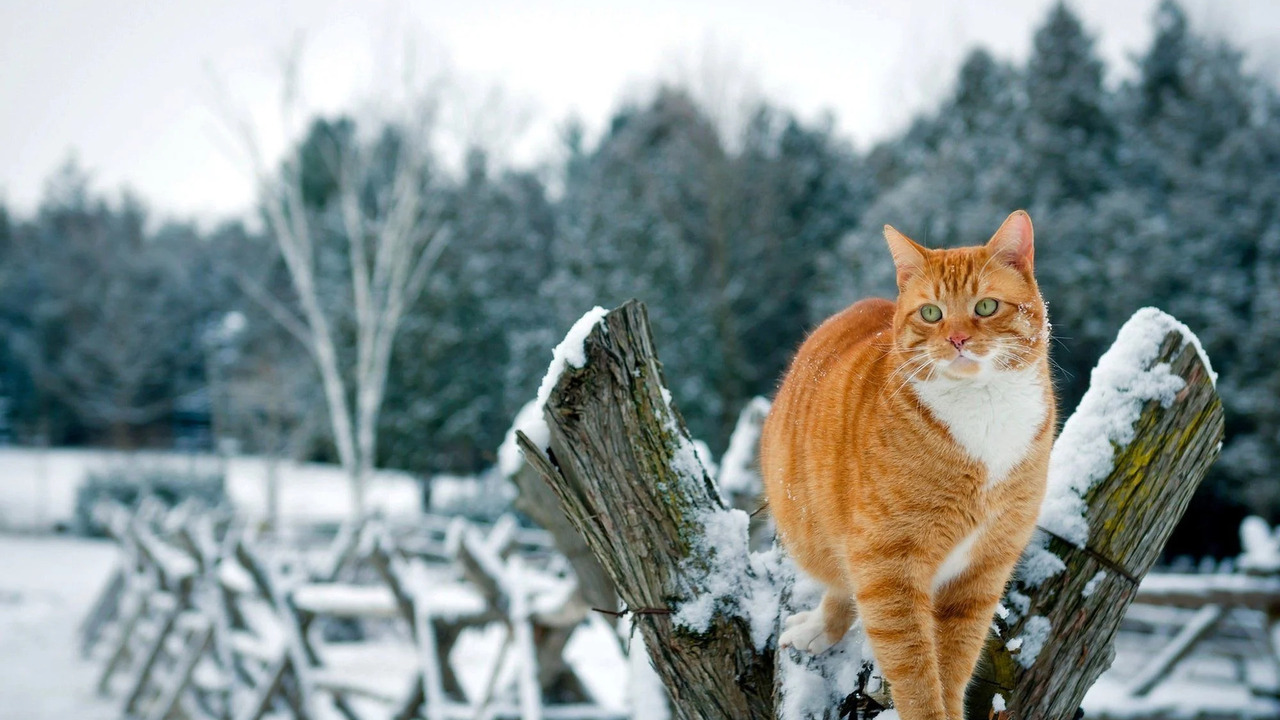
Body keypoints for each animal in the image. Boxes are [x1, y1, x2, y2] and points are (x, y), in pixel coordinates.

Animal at [762, 210, 1054, 712]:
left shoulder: (983, 571)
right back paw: (821, 627)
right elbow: (915, 671)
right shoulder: (887, 564)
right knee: (841, 583)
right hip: (821, 532)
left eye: (985, 307)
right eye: (931, 312)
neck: (984, 408)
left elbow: (953, 666)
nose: (957, 338)